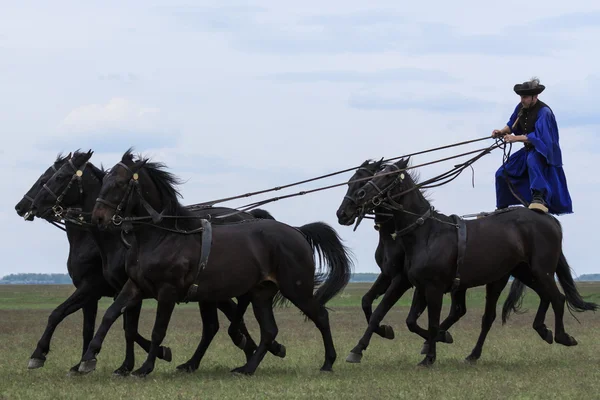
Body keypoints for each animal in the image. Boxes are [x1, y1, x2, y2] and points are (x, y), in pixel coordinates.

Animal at [22, 151, 284, 376]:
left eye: (56, 177)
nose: (23, 207)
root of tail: (248, 216)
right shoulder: (101, 290)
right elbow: (83, 321)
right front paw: (80, 362)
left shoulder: (98, 287)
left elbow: (127, 328)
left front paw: (140, 360)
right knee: (216, 323)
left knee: (229, 314)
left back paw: (253, 347)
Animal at [68, 152, 354, 376]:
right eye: (104, 181)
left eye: (119, 183)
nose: (98, 218)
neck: (163, 236)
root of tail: (296, 231)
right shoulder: (135, 286)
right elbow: (111, 314)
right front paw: (87, 360)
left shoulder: (167, 292)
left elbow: (158, 330)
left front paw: (144, 368)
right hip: (262, 293)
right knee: (269, 330)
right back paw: (247, 368)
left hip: (296, 288)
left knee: (320, 316)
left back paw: (328, 362)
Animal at [346, 158, 596, 368]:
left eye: (388, 176)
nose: (359, 195)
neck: (427, 233)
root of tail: (548, 218)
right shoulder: (420, 286)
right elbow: (411, 321)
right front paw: (436, 341)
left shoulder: (431, 287)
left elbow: (431, 321)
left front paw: (430, 356)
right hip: (522, 273)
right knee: (523, 305)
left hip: (540, 270)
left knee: (557, 298)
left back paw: (563, 336)